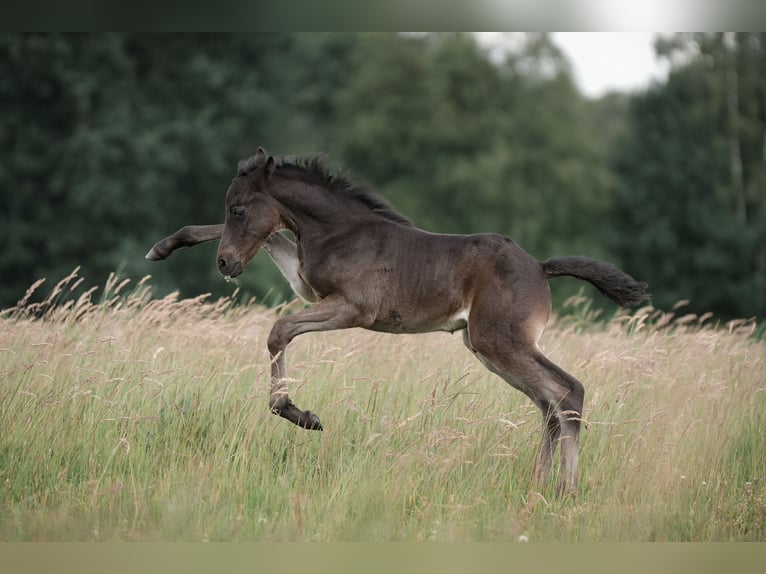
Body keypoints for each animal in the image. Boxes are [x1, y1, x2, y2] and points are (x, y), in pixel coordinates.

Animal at [146, 147, 648, 496]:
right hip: (486, 348)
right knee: (547, 403)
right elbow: (272, 245)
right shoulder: (307, 287)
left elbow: (279, 331)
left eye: (239, 209)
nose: (226, 264)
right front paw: (164, 246)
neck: (340, 232)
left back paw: (566, 492)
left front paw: (301, 415)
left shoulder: (352, 308)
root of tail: (540, 268)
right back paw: (538, 486)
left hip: (500, 342)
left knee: (567, 391)